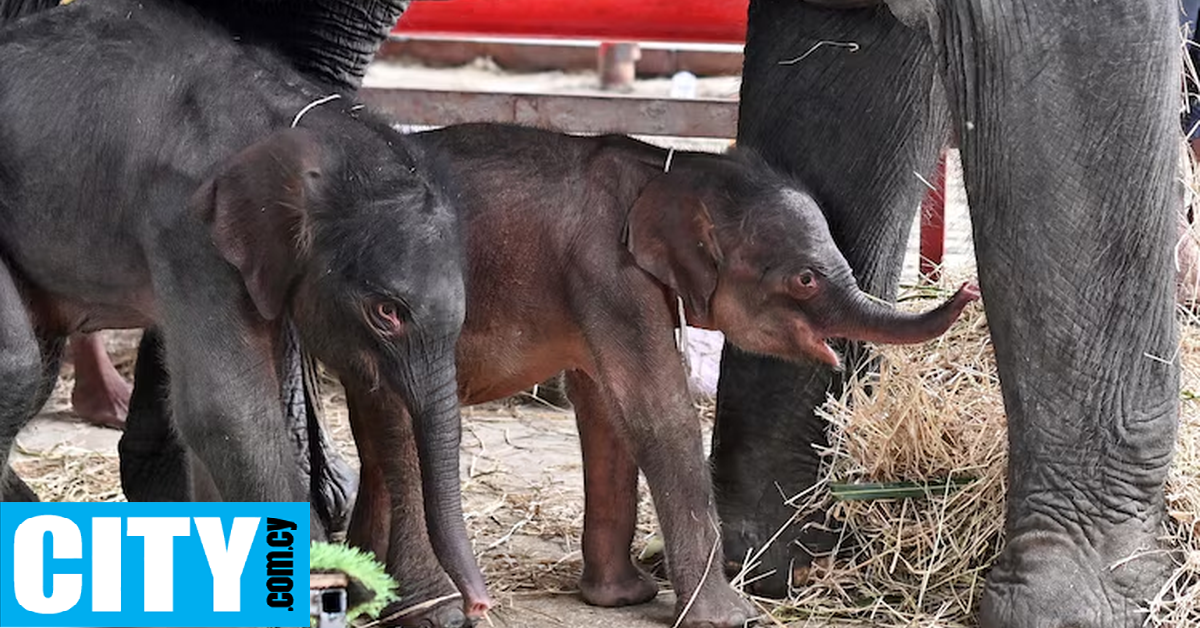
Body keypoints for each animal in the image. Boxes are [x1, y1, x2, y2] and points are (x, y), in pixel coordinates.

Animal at [350, 123, 984, 628]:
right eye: (805, 279)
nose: (968, 289)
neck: (667, 167)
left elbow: (605, 409)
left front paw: (623, 598)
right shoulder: (608, 273)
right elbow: (657, 410)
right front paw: (729, 618)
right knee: (396, 428)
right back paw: (429, 611)